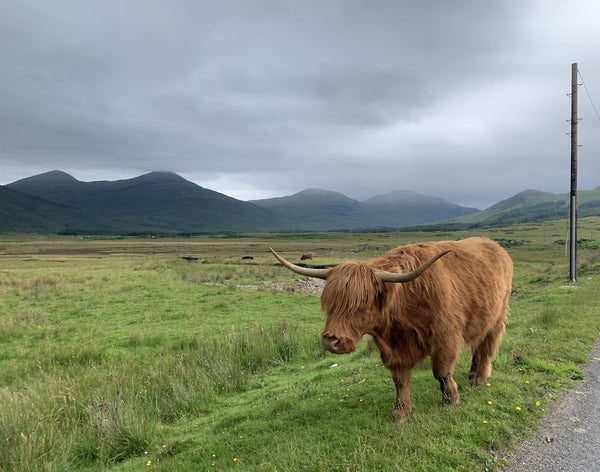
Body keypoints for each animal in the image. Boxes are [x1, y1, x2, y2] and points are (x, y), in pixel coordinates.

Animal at [270, 238, 512, 422]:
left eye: (364, 300)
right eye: (329, 302)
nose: (332, 340)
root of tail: (496, 246)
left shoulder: (446, 338)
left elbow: (442, 373)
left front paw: (451, 400)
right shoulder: (393, 350)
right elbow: (399, 380)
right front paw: (400, 413)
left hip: (497, 317)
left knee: (487, 348)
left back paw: (480, 379)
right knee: (478, 347)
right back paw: (472, 374)